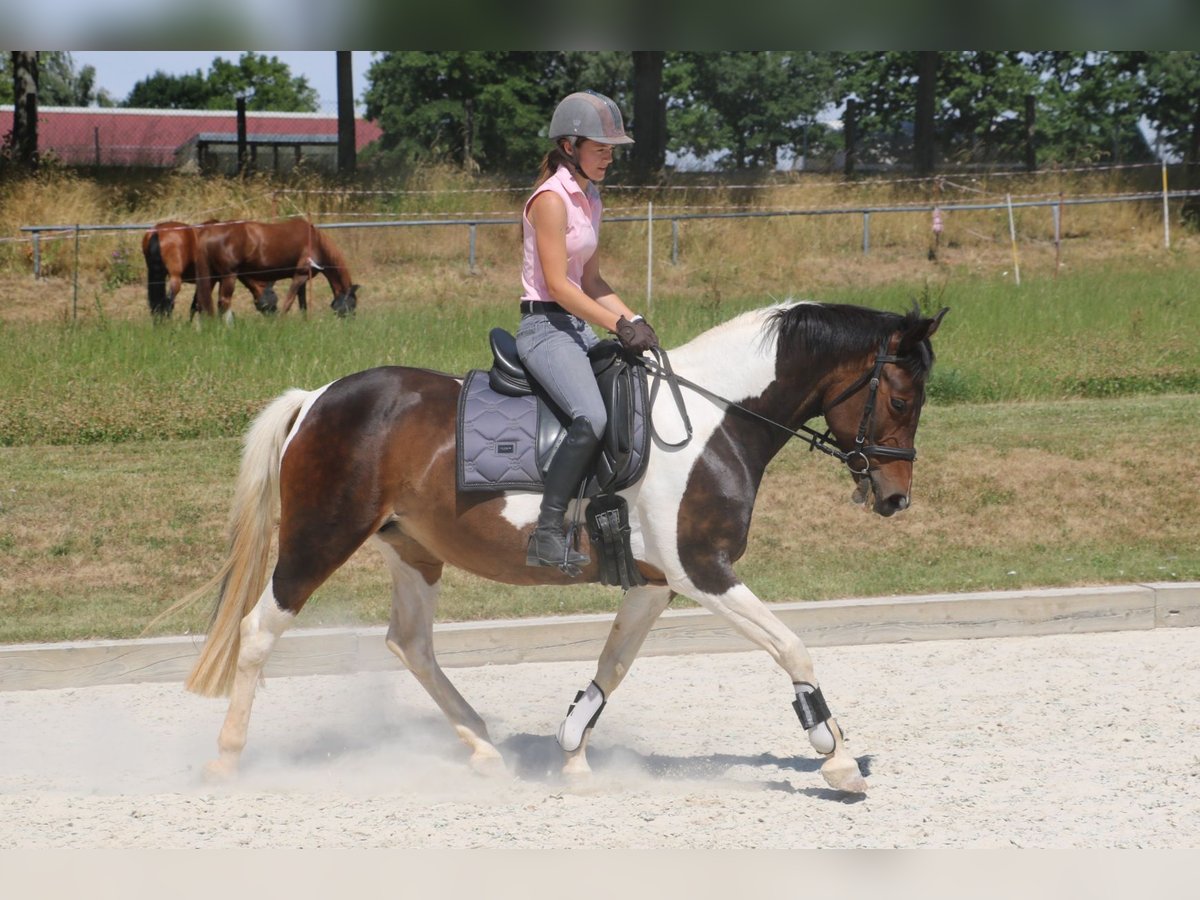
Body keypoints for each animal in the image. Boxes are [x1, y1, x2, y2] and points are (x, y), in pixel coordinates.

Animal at [142, 220, 278, 319]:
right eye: (274, 296)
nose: (274, 317)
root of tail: (157, 232)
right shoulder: (215, 279)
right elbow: (201, 304)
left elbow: (195, 305)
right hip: (175, 278)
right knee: (169, 303)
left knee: (156, 304)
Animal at [166, 300, 947, 795]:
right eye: (902, 399)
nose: (895, 498)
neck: (713, 420)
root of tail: (316, 398)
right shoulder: (704, 571)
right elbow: (793, 648)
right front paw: (835, 758)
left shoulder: (655, 581)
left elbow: (612, 665)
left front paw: (572, 749)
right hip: (319, 538)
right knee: (259, 632)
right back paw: (226, 762)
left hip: (412, 549)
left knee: (409, 644)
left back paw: (483, 746)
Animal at [192, 217, 359, 321]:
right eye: (352, 305)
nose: (350, 322)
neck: (315, 242)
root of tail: (209, 230)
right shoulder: (300, 276)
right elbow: (288, 302)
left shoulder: (303, 280)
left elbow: (302, 304)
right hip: (228, 276)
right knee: (224, 302)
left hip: (211, 277)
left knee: (202, 302)